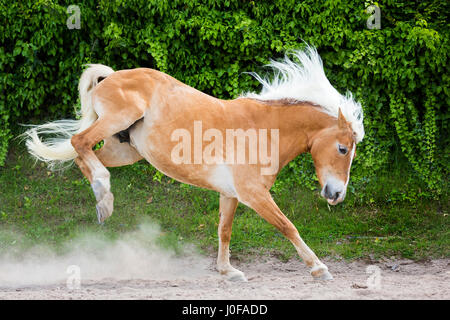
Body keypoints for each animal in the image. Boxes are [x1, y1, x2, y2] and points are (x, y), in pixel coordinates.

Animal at [24, 46, 364, 282]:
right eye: (343, 148)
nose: (336, 195)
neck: (263, 129)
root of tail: (110, 75)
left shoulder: (230, 194)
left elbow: (224, 230)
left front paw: (228, 272)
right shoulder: (253, 194)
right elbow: (287, 226)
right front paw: (319, 268)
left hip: (125, 150)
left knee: (81, 156)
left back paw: (102, 200)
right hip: (118, 120)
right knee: (78, 142)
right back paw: (103, 192)